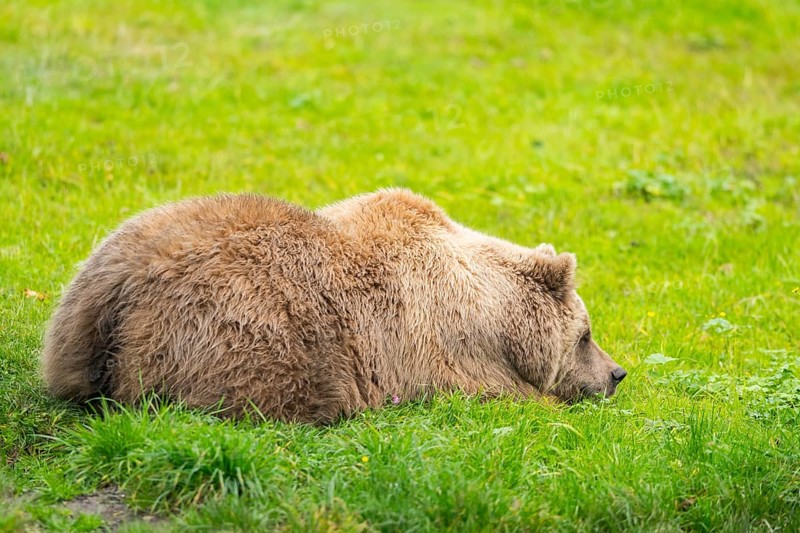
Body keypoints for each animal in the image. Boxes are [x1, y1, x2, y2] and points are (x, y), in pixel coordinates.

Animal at [41, 189, 626, 423]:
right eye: (586, 333)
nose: (618, 373)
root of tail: (119, 289)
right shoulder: (442, 353)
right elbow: (509, 397)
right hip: (248, 331)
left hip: (76, 313)